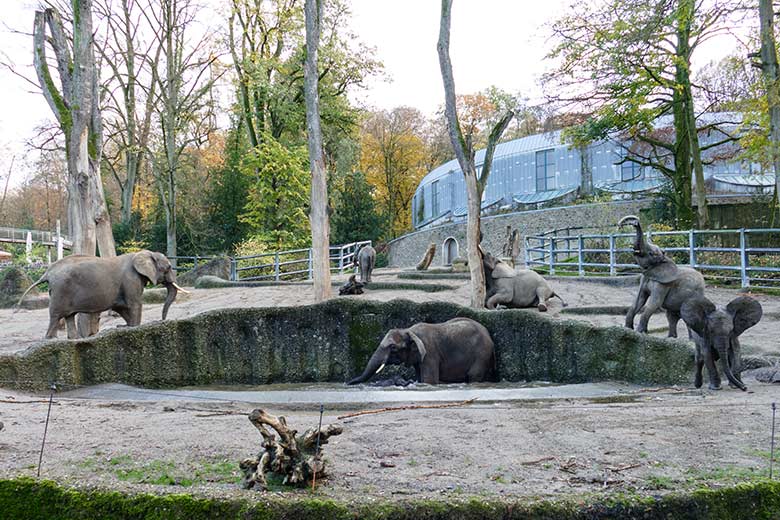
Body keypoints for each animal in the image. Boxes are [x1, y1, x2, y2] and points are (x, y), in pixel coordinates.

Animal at [16, 250, 187, 340]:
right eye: (168, 267)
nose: (163, 320)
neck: (143, 254)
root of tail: (47, 273)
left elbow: (120, 307)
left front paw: (125, 327)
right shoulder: (131, 280)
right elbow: (134, 304)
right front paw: (134, 328)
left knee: (69, 316)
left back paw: (73, 339)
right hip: (61, 291)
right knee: (56, 316)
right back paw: (51, 339)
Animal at [346, 316, 494, 386]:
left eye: (393, 348)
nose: (346, 383)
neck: (408, 330)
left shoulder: (430, 352)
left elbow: (429, 380)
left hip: (482, 354)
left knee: (474, 375)